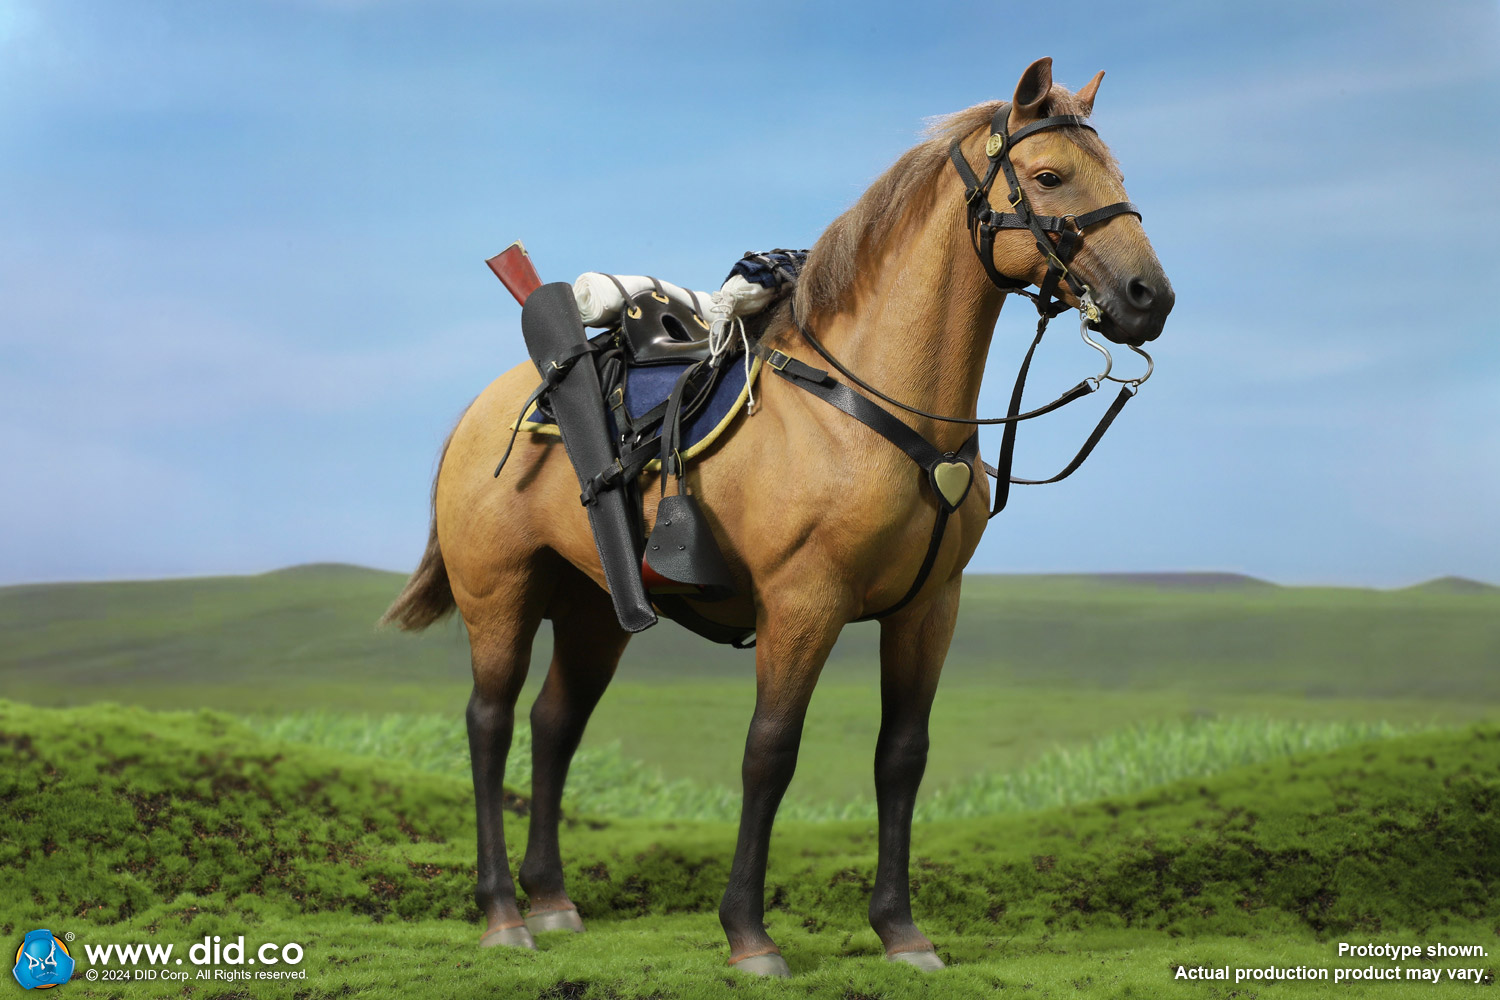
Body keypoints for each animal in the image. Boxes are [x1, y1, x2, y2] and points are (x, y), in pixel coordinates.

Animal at [383, 57, 1173, 976]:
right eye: (1048, 176)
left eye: (1119, 175)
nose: (1149, 297)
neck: (870, 404)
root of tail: (481, 410)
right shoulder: (804, 604)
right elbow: (770, 751)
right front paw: (748, 935)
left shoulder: (929, 609)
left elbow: (901, 757)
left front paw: (901, 930)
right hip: (500, 594)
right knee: (489, 722)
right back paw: (504, 912)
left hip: (596, 608)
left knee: (554, 724)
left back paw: (551, 902)